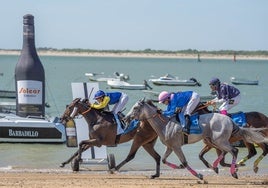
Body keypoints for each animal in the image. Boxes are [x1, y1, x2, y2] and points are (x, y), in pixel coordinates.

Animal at [125, 98, 268, 179]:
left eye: (135, 107)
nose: (126, 118)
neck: (165, 124)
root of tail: (230, 120)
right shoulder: (170, 146)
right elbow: (165, 160)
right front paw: (177, 167)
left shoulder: (176, 146)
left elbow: (184, 162)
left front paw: (199, 175)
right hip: (216, 141)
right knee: (231, 151)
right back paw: (223, 167)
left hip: (220, 141)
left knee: (234, 150)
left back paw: (234, 172)